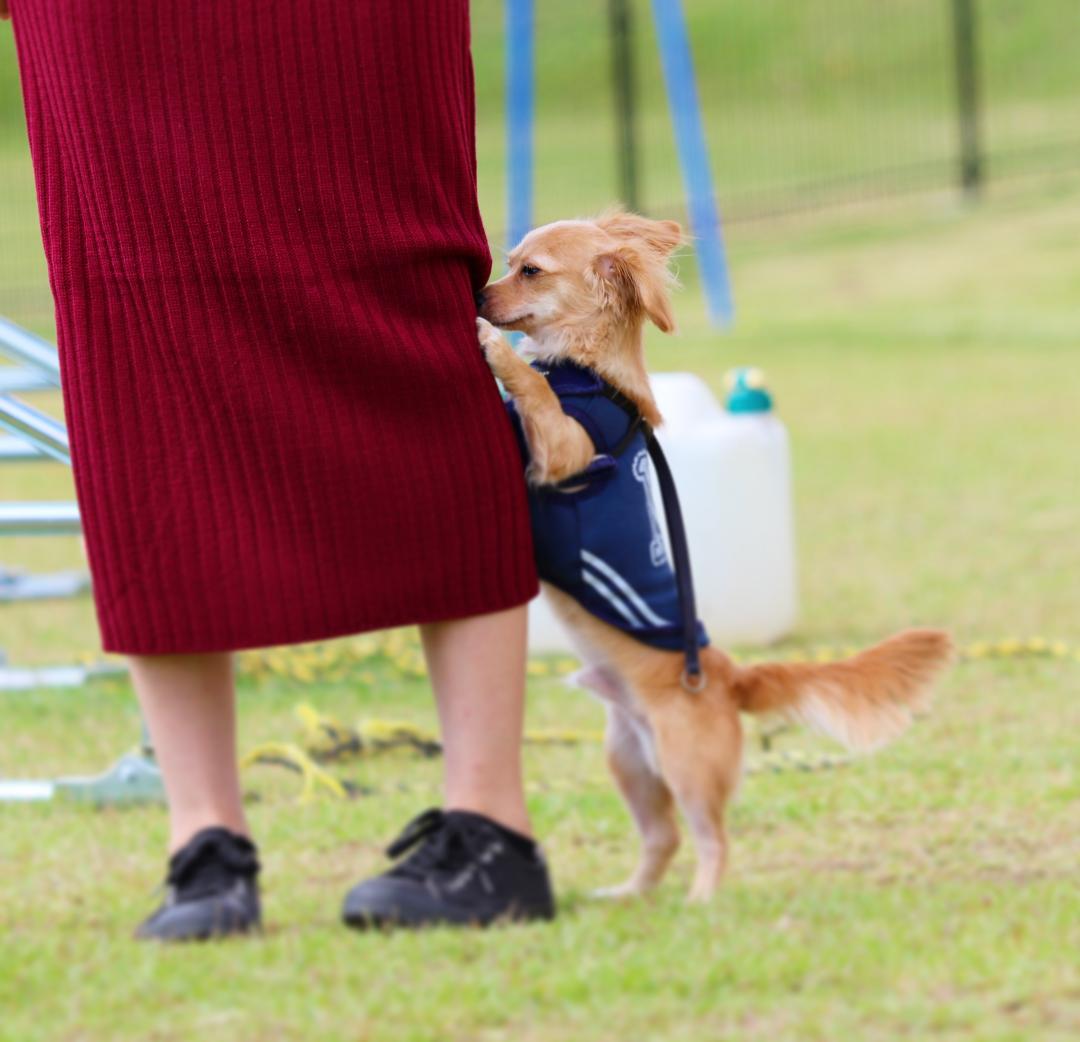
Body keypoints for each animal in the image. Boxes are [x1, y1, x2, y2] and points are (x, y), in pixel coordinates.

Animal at [477, 209, 950, 894]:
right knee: (663, 837)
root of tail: (730, 674)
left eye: (530, 271)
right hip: (629, 759)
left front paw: (495, 349)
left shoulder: (566, 449)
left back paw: (701, 899)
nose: (478, 295)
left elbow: (535, 392)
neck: (589, 375)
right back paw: (629, 896)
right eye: (509, 262)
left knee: (711, 839)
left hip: (686, 765)